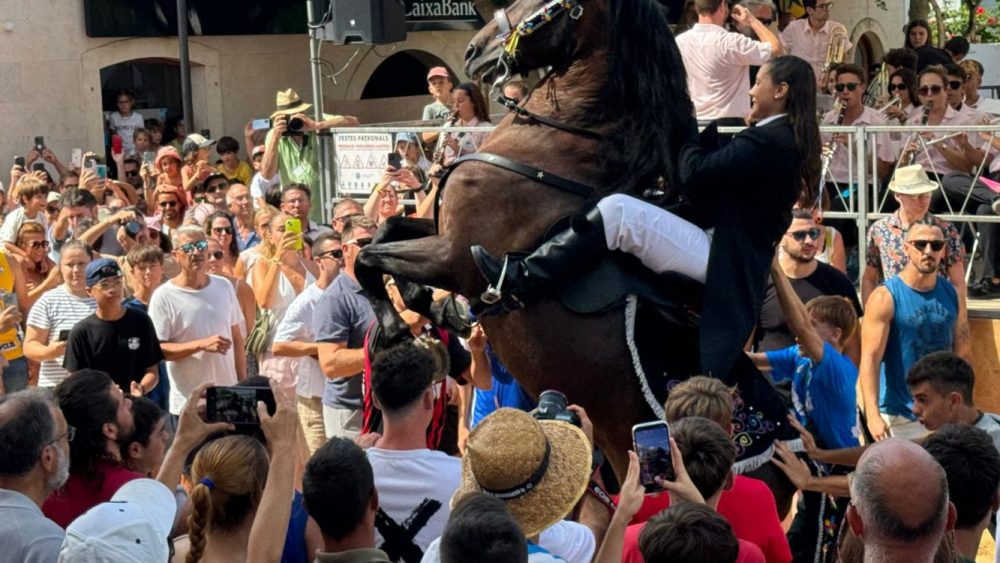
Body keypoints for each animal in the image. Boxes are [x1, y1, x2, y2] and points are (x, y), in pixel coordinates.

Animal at [356, 0, 792, 506]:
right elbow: (383, 231)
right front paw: (426, 306)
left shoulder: (456, 257)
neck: (552, 149)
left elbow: (368, 259)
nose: (474, 51)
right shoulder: (441, 233)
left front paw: (400, 322)